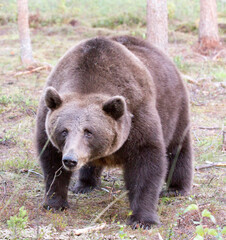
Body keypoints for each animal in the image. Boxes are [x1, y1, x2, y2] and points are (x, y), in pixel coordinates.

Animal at [35, 35, 192, 229]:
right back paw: (85, 184)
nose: (71, 159)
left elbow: (146, 165)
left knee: (178, 147)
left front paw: (142, 219)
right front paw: (54, 203)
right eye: (64, 131)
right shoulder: (47, 122)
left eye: (89, 132)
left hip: (174, 107)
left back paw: (176, 188)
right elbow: (52, 165)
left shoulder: (137, 117)